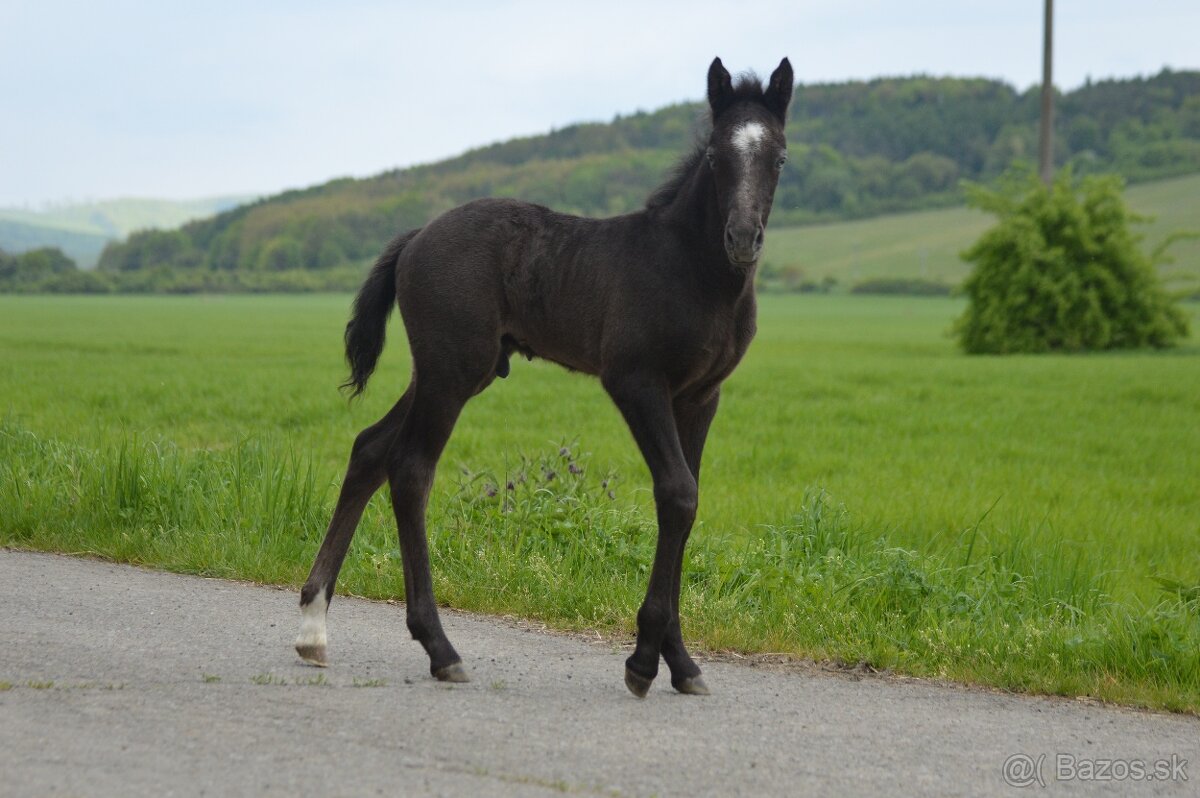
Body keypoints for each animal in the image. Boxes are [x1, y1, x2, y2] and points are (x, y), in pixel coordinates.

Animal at [295, 57, 793, 697]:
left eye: (778, 157)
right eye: (714, 155)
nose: (742, 238)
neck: (696, 273)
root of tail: (416, 237)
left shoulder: (701, 397)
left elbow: (689, 501)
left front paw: (682, 663)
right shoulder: (635, 381)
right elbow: (677, 493)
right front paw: (643, 662)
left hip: (452, 369)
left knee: (369, 449)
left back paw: (313, 629)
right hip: (452, 371)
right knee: (409, 470)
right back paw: (440, 648)